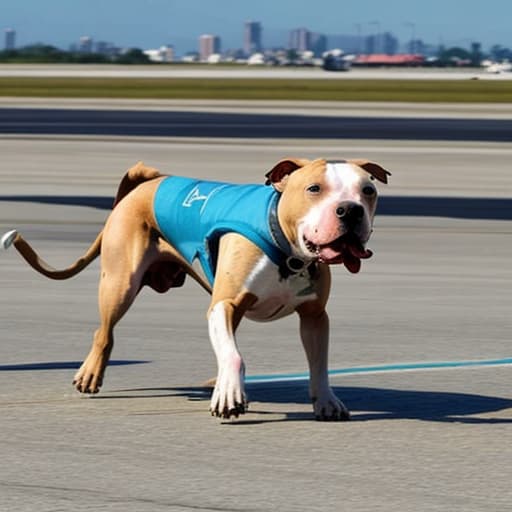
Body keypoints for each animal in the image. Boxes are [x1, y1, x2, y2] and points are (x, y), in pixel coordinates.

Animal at [2, 159, 390, 420]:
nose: (350, 210)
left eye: (368, 191)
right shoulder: (225, 304)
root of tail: (148, 180)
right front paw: (229, 395)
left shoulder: (313, 316)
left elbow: (319, 363)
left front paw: (325, 401)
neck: (288, 250)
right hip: (120, 283)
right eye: (314, 189)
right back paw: (91, 373)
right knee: (104, 331)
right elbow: (234, 355)